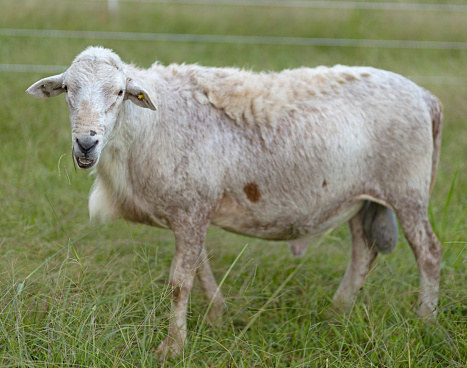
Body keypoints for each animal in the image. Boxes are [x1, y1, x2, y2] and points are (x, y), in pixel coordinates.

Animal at [27, 47, 444, 358]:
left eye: (118, 93)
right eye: (67, 90)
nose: (86, 143)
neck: (148, 127)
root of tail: (426, 97)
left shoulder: (192, 208)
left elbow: (180, 281)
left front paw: (172, 348)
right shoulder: (192, 209)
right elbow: (200, 268)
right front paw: (217, 315)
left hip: (407, 191)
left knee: (429, 253)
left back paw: (425, 320)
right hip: (361, 197)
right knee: (363, 253)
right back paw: (337, 313)